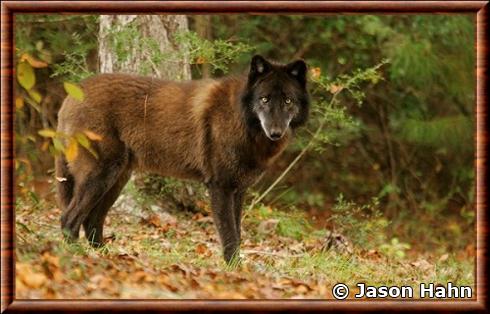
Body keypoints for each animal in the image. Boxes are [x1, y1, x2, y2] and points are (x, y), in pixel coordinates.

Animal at [56, 54, 310, 262]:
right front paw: (235, 269)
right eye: (264, 99)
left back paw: (109, 256)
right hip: (100, 178)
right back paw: (76, 255)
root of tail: (71, 94)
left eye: (288, 101)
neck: (240, 118)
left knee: (91, 221)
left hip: (116, 181)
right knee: (69, 218)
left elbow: (238, 233)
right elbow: (230, 236)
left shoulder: (239, 191)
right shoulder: (220, 187)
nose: (275, 132)